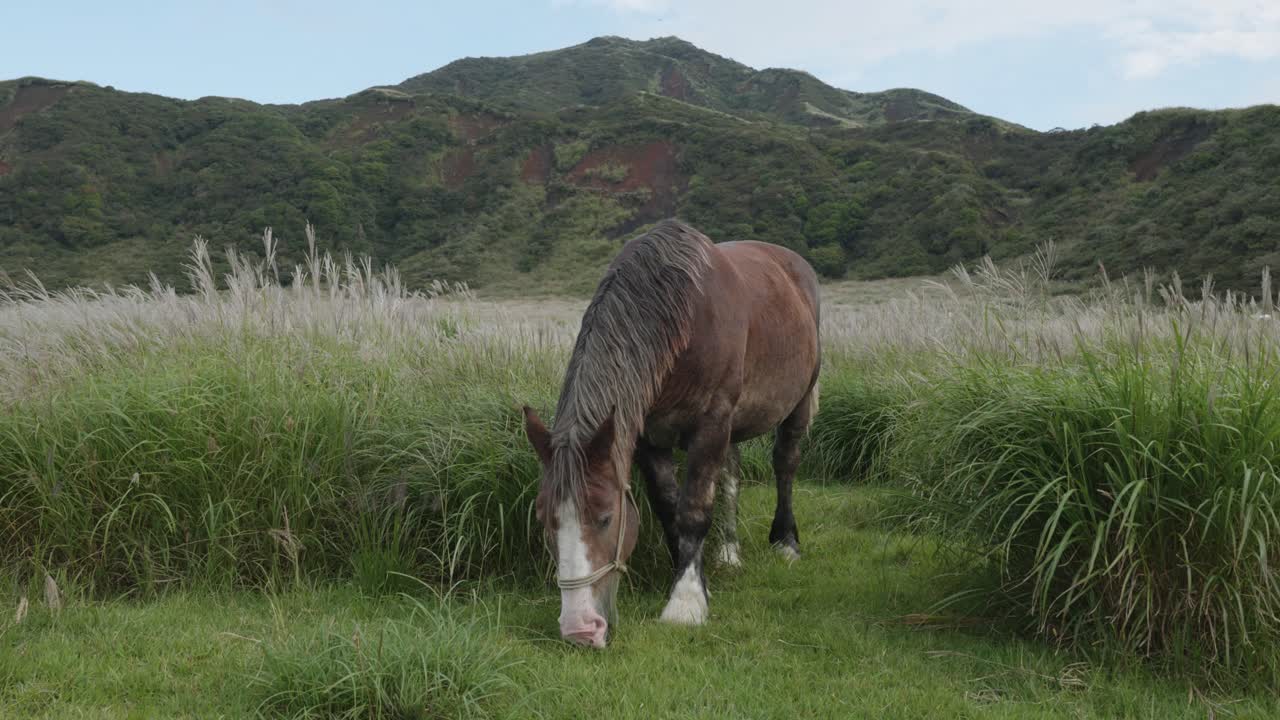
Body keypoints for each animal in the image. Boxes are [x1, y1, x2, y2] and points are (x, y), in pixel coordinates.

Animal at [522, 218, 821, 648]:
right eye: (545, 520)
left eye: (606, 518)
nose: (580, 629)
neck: (684, 320)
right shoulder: (649, 436)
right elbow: (668, 507)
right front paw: (687, 571)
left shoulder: (711, 424)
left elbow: (694, 509)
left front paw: (686, 601)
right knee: (731, 477)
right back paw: (729, 553)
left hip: (798, 402)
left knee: (785, 465)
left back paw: (786, 543)